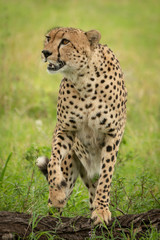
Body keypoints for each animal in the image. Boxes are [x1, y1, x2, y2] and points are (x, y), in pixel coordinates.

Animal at [36, 27, 127, 226]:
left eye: (65, 42)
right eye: (48, 38)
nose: (45, 52)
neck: (84, 79)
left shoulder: (113, 134)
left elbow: (106, 176)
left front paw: (101, 211)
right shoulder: (65, 129)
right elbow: (53, 161)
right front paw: (56, 194)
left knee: (96, 186)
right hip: (71, 166)